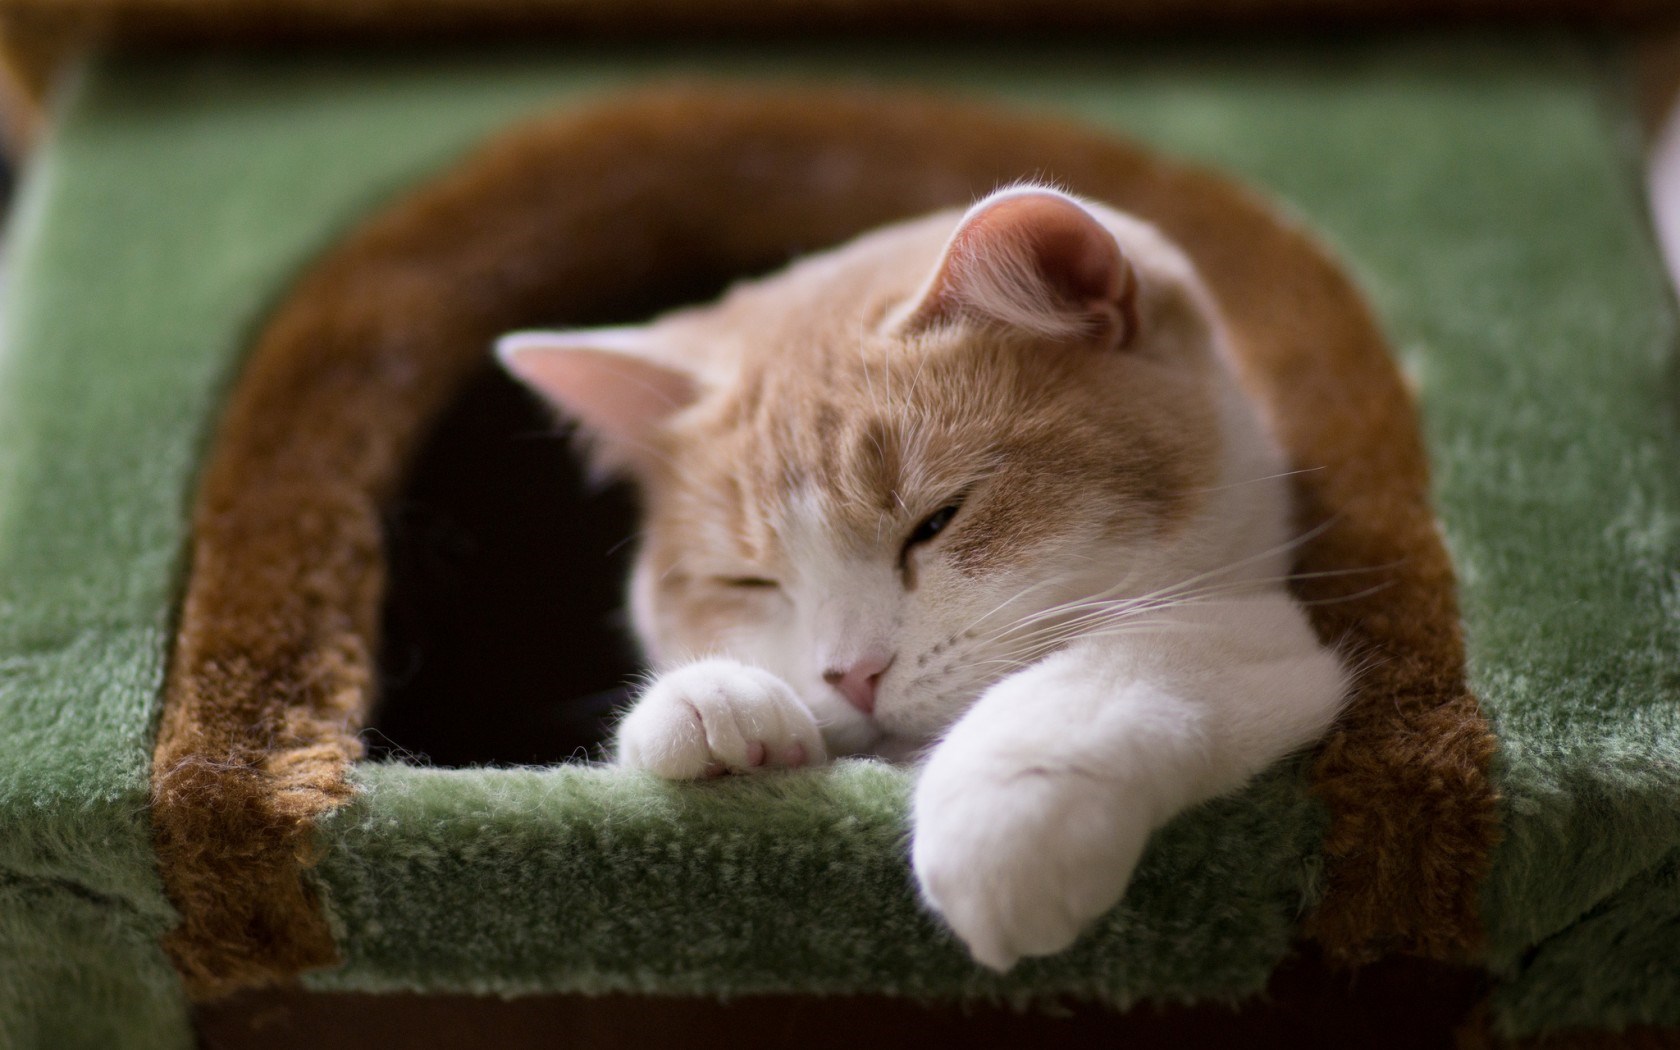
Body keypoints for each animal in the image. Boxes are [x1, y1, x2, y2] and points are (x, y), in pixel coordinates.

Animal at [497, 183, 1350, 967]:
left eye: (937, 521)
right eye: (746, 583)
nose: (853, 674)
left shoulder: (1276, 641)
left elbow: (1132, 660)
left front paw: (1006, 811)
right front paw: (715, 705)